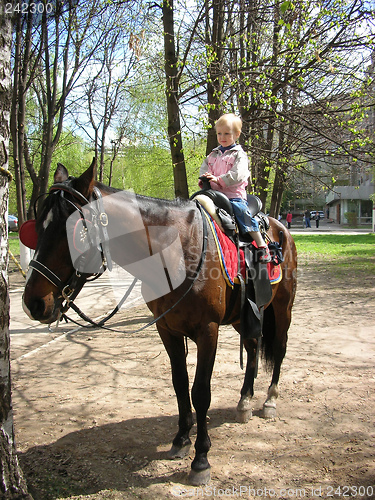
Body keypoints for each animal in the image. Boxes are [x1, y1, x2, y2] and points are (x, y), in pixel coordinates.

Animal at [22, 159, 298, 484]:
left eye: (74, 233)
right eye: (39, 227)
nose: (32, 303)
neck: (176, 250)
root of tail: (280, 228)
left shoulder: (208, 332)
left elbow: (200, 392)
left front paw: (201, 459)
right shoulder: (166, 329)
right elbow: (179, 384)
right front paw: (181, 439)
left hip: (282, 308)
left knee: (278, 349)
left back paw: (269, 400)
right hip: (246, 315)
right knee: (253, 347)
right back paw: (244, 401)